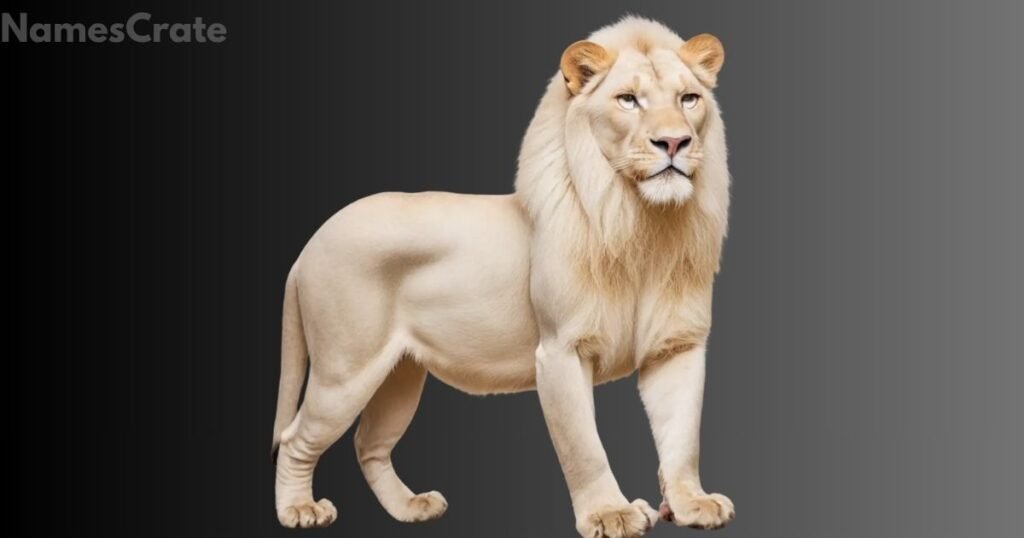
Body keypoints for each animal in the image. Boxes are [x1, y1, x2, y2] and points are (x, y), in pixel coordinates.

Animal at [272, 16, 733, 537]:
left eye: (688, 99)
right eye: (628, 99)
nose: (674, 142)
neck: (643, 223)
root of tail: (309, 245)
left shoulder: (677, 346)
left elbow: (683, 437)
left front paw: (692, 504)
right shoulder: (561, 349)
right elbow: (584, 446)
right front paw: (610, 514)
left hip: (398, 375)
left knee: (369, 444)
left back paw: (411, 507)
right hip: (344, 369)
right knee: (296, 438)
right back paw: (299, 510)